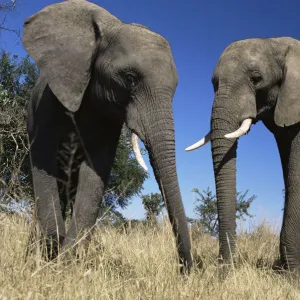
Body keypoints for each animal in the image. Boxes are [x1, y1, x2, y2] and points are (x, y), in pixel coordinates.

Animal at [22, 0, 192, 272]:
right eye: (130, 79)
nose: (185, 270)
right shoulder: (48, 102)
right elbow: (43, 161)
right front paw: (51, 259)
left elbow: (95, 172)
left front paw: (68, 265)